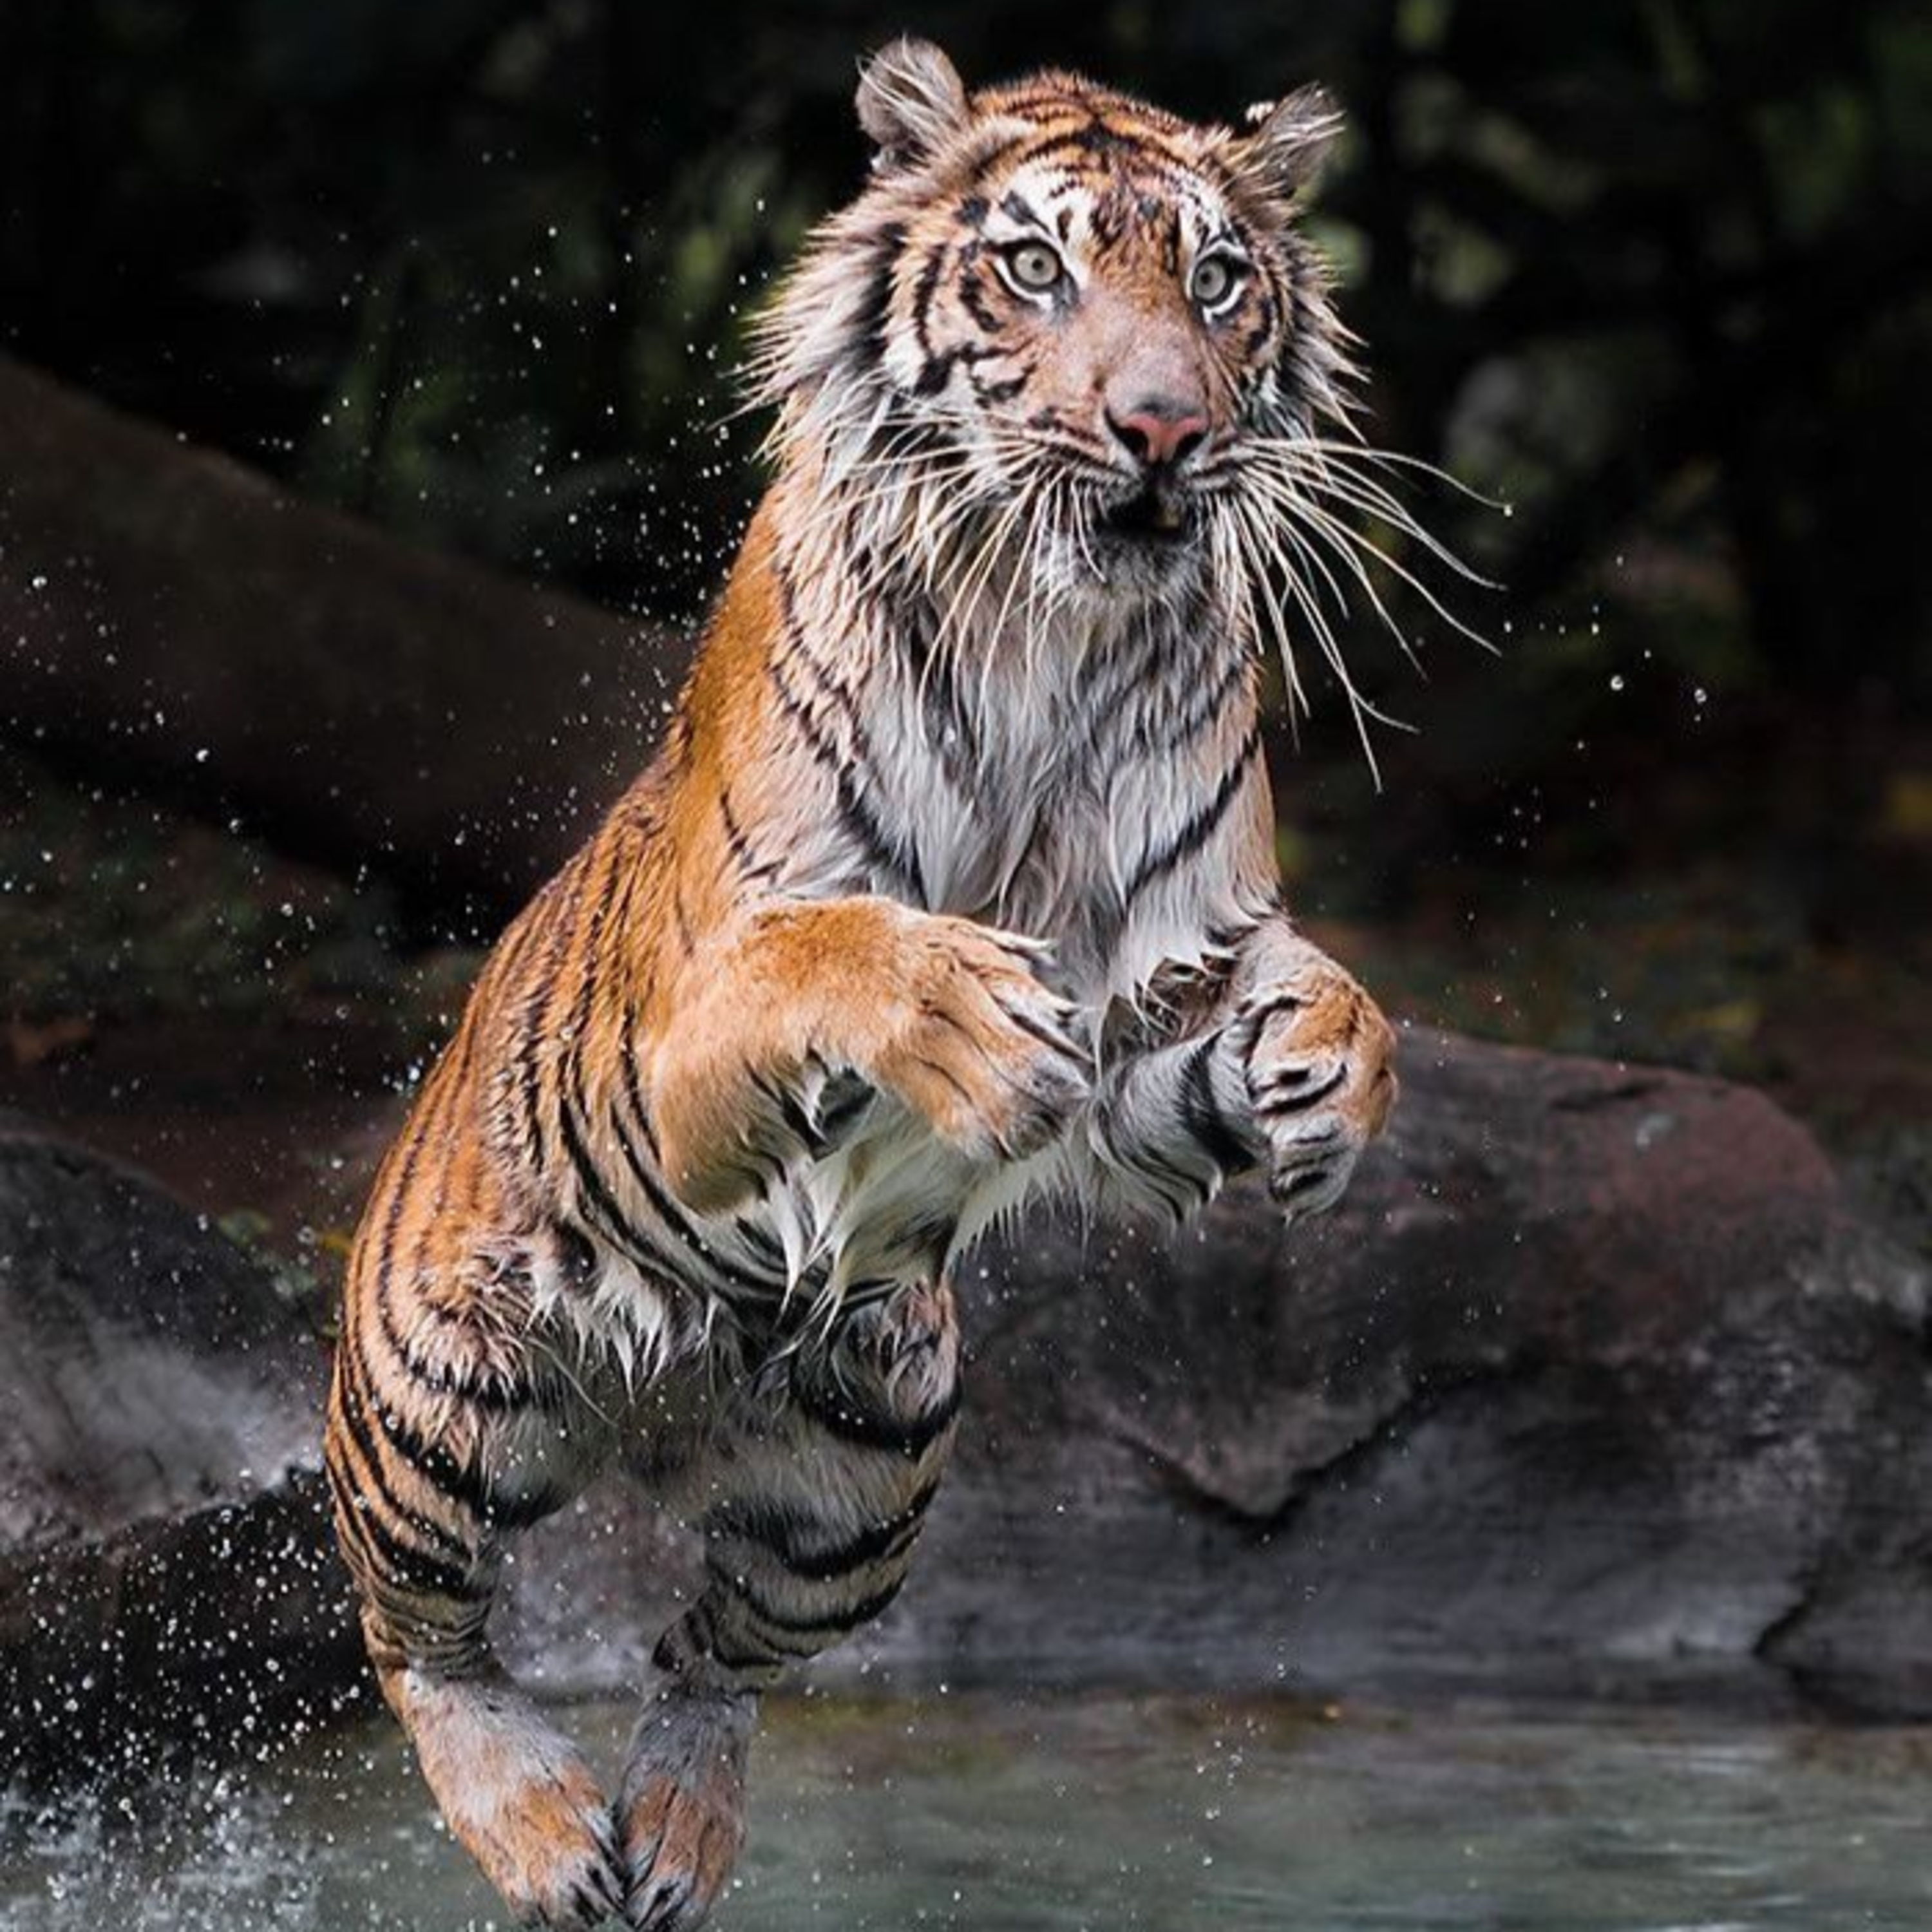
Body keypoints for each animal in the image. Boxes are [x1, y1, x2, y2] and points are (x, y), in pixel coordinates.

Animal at [324, 36, 1409, 1932]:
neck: (1051, 633)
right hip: (435, 1392)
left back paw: (673, 1831)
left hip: (877, 1457)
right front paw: (962, 1010)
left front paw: (1324, 1068)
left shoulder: (1164, 994)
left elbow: (1286, 1015)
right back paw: (541, 1828)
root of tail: (649, 1423)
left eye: (1215, 280)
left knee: (710, 1652)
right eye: (1035, 266)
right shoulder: (683, 1047)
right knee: (416, 1634)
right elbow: (837, 948)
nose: (1165, 428)